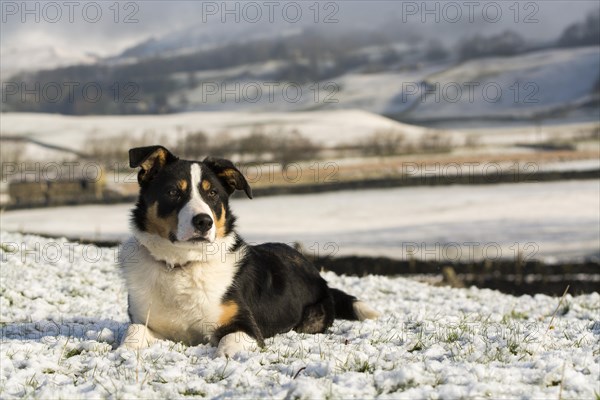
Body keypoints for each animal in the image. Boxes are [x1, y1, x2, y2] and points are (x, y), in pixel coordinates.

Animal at [119, 146, 378, 356]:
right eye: (173, 192)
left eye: (212, 193)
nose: (204, 222)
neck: (182, 265)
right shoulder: (148, 322)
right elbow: (134, 332)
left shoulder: (246, 326)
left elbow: (229, 343)